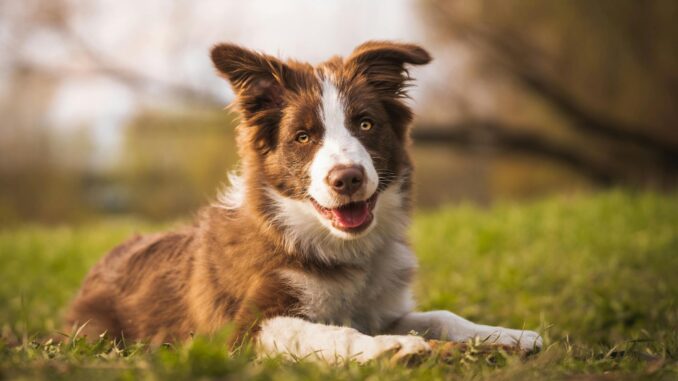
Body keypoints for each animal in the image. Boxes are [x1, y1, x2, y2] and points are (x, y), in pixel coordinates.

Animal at [67, 40, 540, 362]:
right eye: (303, 136)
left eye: (365, 124)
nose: (347, 178)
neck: (337, 249)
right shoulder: (240, 331)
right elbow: (327, 333)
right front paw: (394, 348)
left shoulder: (379, 307)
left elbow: (442, 315)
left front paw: (510, 335)